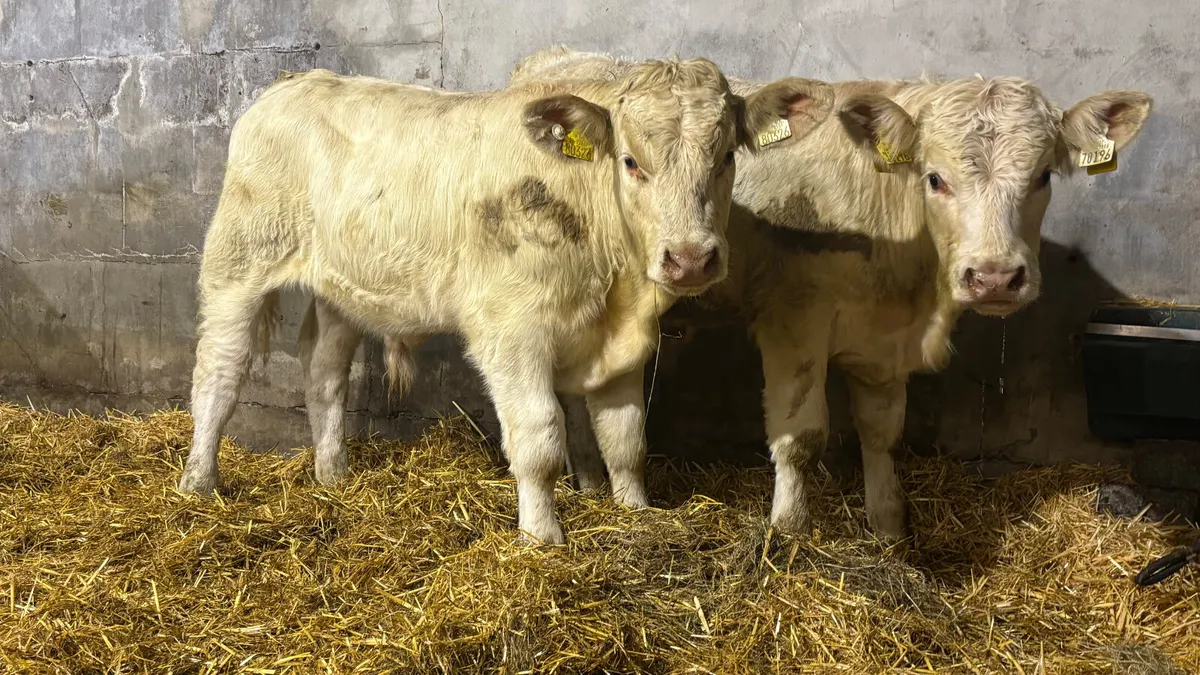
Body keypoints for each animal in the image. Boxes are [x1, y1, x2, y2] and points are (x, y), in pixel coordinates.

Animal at [176, 55, 836, 545]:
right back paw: (199, 483)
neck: (616, 287)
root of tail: (295, 81)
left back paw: (333, 477)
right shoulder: (511, 331)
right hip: (238, 259)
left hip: (344, 287)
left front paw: (636, 515)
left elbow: (626, 442)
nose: (691, 258)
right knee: (219, 372)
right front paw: (542, 538)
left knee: (324, 373)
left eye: (726, 157)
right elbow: (540, 439)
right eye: (630, 162)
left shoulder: (620, 347)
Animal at [514, 52, 1152, 541]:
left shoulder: (883, 345)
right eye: (935, 178)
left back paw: (589, 480)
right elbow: (802, 437)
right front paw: (790, 531)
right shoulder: (793, 324)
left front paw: (889, 530)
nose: (995, 277)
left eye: (1043, 176)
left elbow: (882, 433)